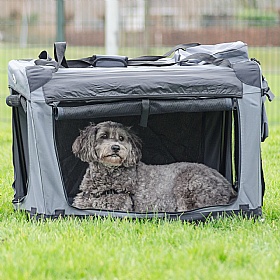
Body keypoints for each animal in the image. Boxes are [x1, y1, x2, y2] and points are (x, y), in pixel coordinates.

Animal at [71, 121, 235, 212]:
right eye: (103, 136)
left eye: (122, 138)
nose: (116, 147)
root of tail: (227, 185)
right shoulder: (81, 201)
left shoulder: (117, 204)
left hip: (189, 185)